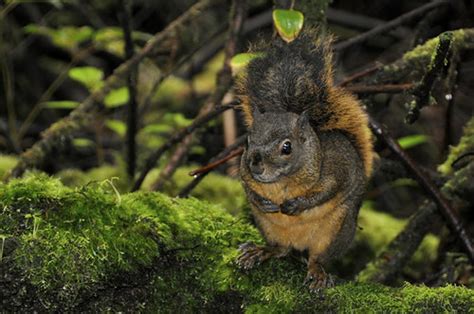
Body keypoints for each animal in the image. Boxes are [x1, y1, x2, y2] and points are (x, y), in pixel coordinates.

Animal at [235, 30, 372, 290]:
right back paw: (260, 251)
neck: (281, 182)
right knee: (280, 250)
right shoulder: (245, 176)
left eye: (287, 147)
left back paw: (317, 272)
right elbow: (248, 190)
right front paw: (263, 202)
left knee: (317, 257)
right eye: (247, 141)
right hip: (267, 227)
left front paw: (296, 205)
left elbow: (327, 190)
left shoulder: (336, 169)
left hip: (335, 231)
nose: (255, 166)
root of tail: (298, 246)